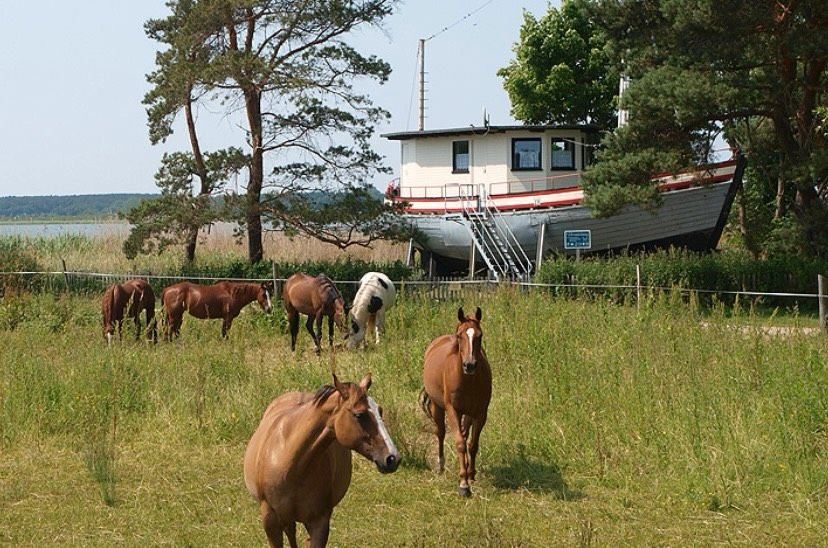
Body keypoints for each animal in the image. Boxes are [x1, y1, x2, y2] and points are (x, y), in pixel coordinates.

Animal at [420, 306, 492, 498]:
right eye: (460, 335)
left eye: (480, 335)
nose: (470, 365)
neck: (469, 381)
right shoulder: (453, 411)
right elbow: (460, 443)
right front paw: (463, 485)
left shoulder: (480, 413)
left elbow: (472, 444)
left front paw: (471, 475)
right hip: (438, 408)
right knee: (440, 433)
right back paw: (440, 465)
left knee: (465, 435)